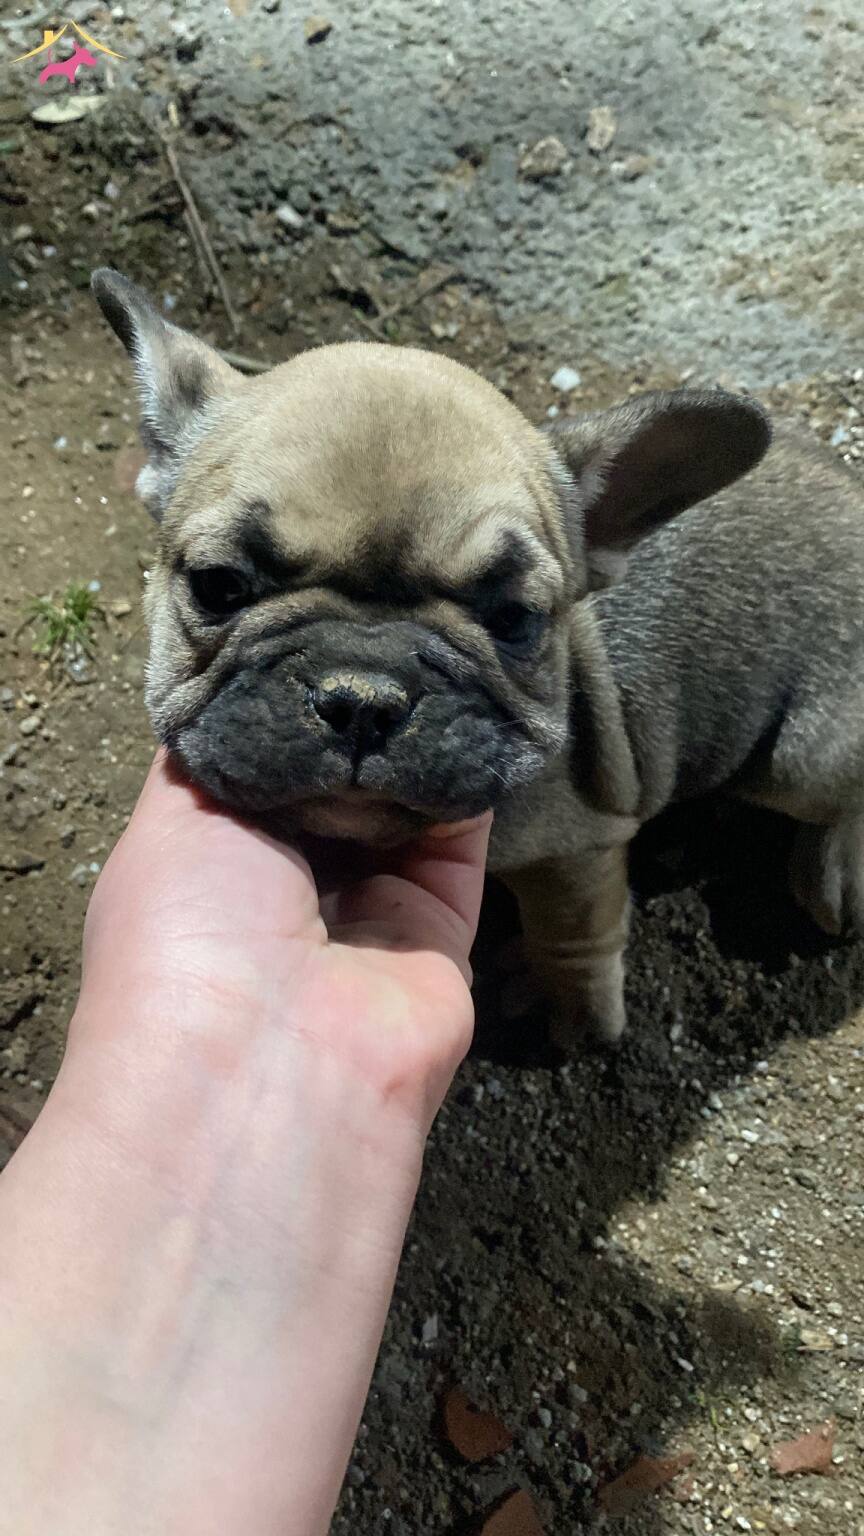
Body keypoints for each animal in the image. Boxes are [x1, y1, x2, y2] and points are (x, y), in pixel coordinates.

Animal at [92, 267, 864, 1050]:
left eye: (513, 620)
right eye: (219, 585)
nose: (362, 696)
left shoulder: (576, 853)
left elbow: (572, 941)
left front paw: (576, 1020)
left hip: (797, 763)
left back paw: (832, 872)